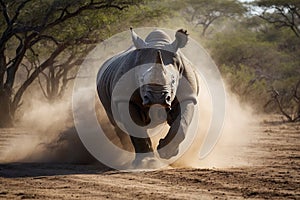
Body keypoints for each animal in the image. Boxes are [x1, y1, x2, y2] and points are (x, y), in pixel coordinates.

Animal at [96, 28, 199, 162]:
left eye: (173, 80)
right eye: (141, 80)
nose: (157, 98)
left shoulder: (188, 95)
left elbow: (182, 123)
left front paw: (167, 152)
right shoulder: (124, 98)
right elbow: (136, 129)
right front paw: (147, 162)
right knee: (116, 122)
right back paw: (126, 152)